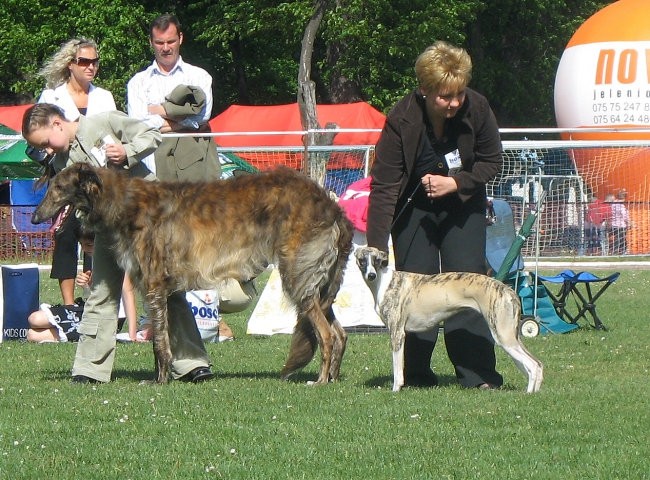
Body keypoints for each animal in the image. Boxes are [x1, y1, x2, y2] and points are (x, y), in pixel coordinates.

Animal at [33, 165, 352, 386]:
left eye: (58, 187)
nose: (35, 217)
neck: (123, 202)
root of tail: (332, 206)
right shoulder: (166, 290)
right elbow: (163, 338)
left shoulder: (154, 285)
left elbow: (158, 342)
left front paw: (159, 381)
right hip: (319, 284)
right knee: (340, 332)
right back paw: (333, 378)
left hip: (298, 277)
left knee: (326, 334)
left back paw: (320, 380)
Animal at [354, 246, 540, 392]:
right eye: (362, 260)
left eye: (377, 260)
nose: (371, 275)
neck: (384, 282)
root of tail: (509, 291)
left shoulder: (397, 333)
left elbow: (397, 368)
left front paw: (395, 389)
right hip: (511, 335)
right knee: (537, 363)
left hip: (503, 336)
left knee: (533, 365)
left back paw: (528, 393)